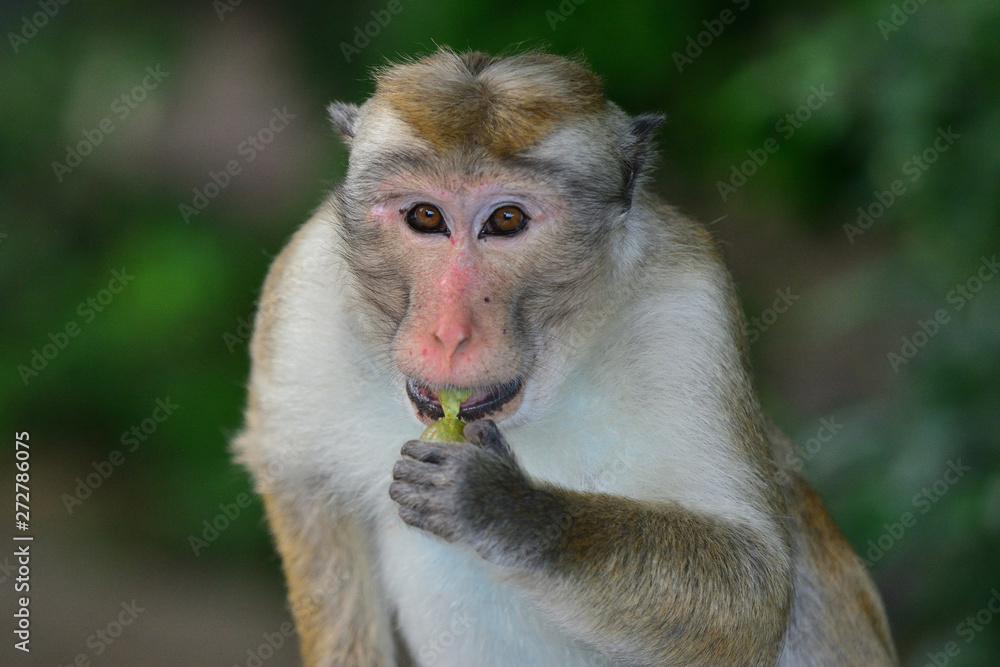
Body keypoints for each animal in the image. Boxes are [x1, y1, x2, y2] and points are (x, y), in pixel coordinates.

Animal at [233, 48, 897, 666]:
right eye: (425, 216)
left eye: (506, 219)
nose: (449, 333)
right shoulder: (304, 292)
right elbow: (301, 486)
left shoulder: (688, 307)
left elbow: (751, 587)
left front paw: (507, 510)